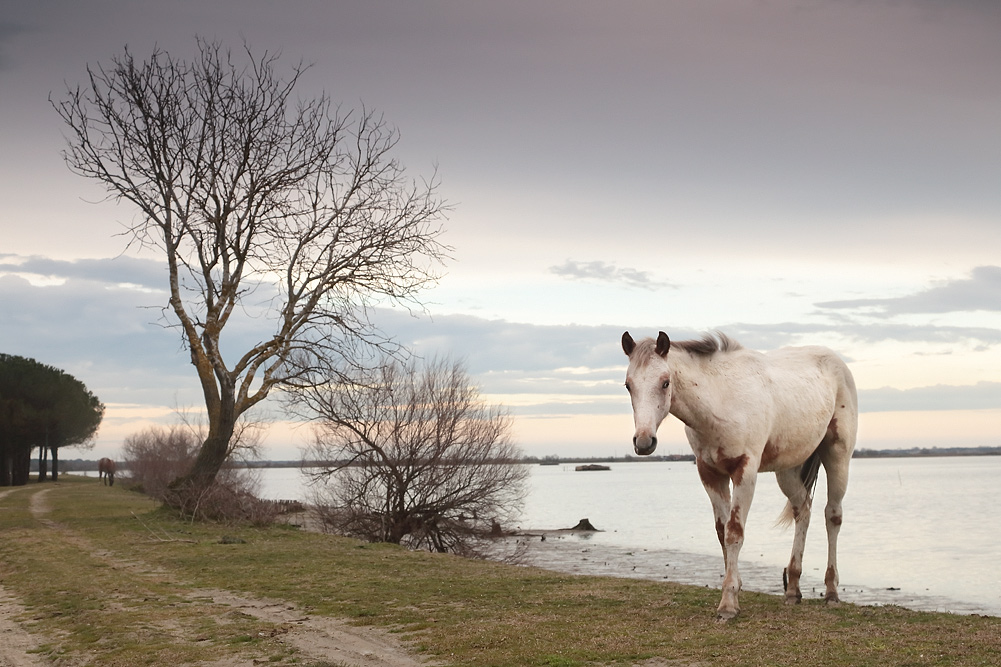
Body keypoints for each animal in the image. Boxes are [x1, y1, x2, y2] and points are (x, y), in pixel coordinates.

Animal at [621, 331, 857, 620]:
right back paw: (793, 589)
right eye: (628, 385)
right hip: (787, 469)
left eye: (665, 382)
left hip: (837, 456)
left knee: (832, 516)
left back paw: (832, 591)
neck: (721, 399)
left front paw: (728, 604)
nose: (644, 442)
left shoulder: (745, 471)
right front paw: (733, 590)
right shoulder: (710, 473)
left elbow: (734, 532)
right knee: (803, 509)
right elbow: (722, 532)